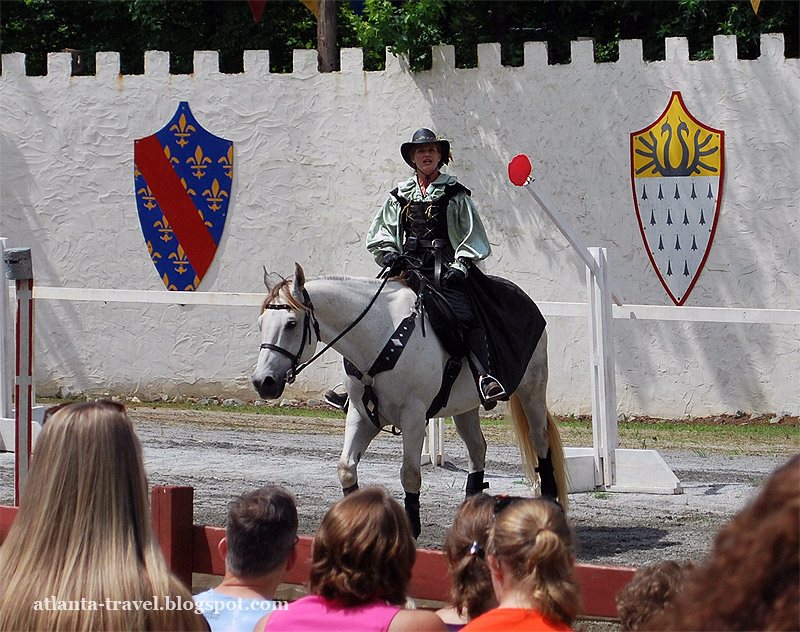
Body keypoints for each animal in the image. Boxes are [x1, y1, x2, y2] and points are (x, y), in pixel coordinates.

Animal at [252, 264, 568, 536]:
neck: (380, 337)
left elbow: (410, 474)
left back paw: (550, 502)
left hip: (531, 389)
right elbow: (346, 469)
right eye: (261, 323)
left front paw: (411, 529)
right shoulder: (361, 415)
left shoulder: (414, 417)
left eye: (291, 323)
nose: (262, 382)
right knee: (478, 449)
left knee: (539, 439)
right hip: (465, 407)